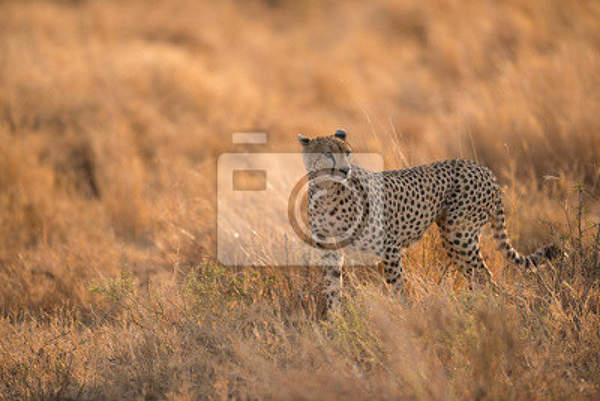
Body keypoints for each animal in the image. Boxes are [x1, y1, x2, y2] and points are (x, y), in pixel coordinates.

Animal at [298, 128, 564, 310]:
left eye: (348, 153)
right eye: (328, 154)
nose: (346, 170)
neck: (327, 191)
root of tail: (482, 168)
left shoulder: (390, 248)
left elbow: (396, 286)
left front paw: (401, 317)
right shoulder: (330, 249)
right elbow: (333, 289)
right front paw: (334, 324)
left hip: (459, 235)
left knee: (483, 275)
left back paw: (481, 310)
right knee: (476, 275)